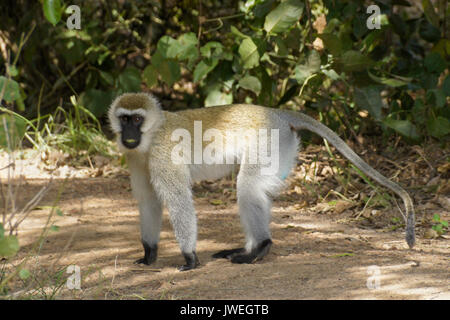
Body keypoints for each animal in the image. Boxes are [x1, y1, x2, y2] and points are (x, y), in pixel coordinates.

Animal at [108, 92, 414, 270]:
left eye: (137, 119)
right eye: (124, 119)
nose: (129, 135)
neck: (152, 134)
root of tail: (275, 112)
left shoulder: (162, 153)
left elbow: (177, 200)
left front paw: (190, 258)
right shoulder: (137, 157)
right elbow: (148, 201)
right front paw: (149, 253)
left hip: (269, 142)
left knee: (248, 186)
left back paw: (261, 247)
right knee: (254, 189)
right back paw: (251, 247)